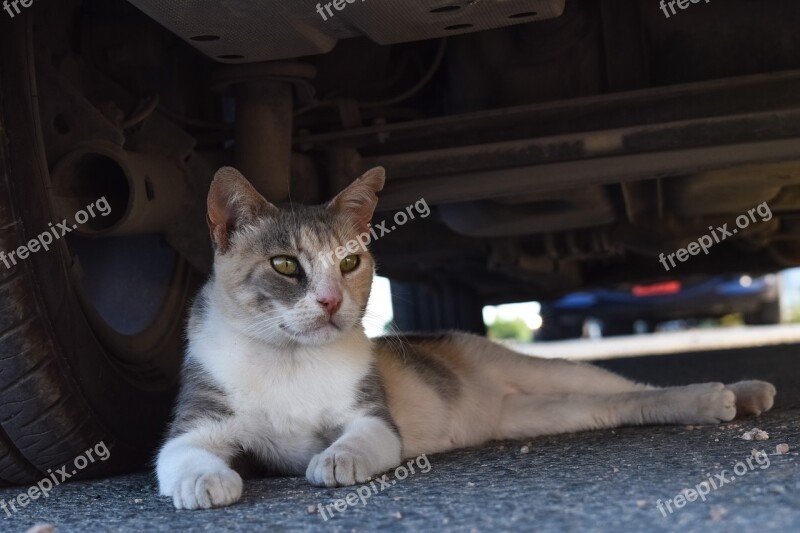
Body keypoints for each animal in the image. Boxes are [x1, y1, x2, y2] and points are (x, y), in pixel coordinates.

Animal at [155, 165, 776, 508]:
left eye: (351, 261)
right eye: (285, 265)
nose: (331, 301)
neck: (289, 361)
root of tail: (498, 399)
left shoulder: (375, 420)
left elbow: (356, 440)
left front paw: (335, 461)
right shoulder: (193, 428)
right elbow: (180, 459)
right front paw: (205, 485)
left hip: (546, 370)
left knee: (635, 386)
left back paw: (732, 392)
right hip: (547, 411)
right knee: (621, 405)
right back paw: (730, 399)